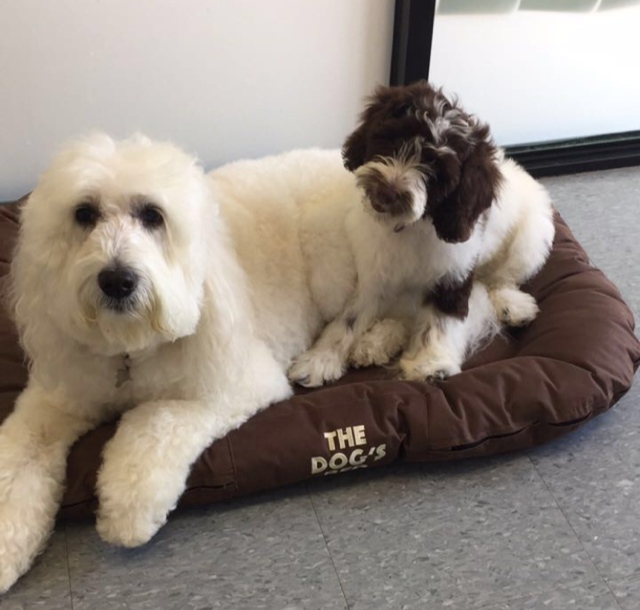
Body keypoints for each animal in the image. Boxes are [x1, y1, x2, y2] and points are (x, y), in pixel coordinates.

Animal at [0, 134, 390, 592]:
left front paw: (127, 511)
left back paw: (366, 347)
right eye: (84, 213)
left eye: (153, 215)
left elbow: (156, 422)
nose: (117, 280)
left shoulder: (236, 382)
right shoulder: (58, 398)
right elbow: (19, 455)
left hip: (337, 262)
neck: (131, 349)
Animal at [288, 81, 555, 387]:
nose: (388, 191)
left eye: (436, 169)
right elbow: (349, 319)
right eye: (393, 141)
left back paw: (513, 305)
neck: (411, 227)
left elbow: (441, 319)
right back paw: (376, 342)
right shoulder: (375, 274)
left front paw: (431, 363)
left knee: (498, 280)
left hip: (531, 237)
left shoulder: (454, 273)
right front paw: (319, 360)